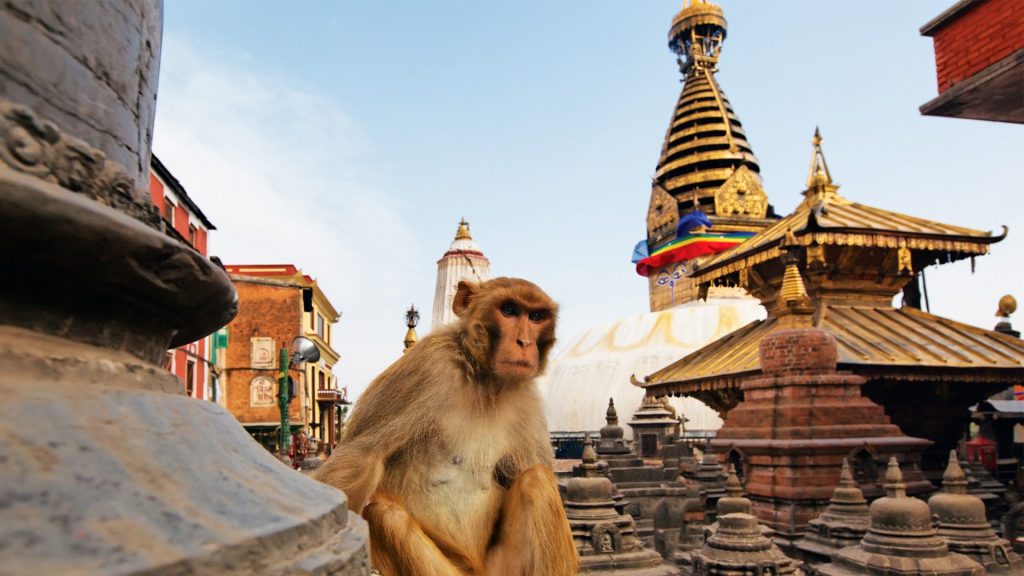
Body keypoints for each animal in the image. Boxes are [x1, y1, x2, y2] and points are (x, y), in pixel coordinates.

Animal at [315, 276, 581, 569]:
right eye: (509, 310)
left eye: (536, 316)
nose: (524, 342)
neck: (485, 381)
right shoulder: (428, 366)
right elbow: (360, 457)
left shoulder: (527, 402)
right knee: (385, 514)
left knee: (537, 479)